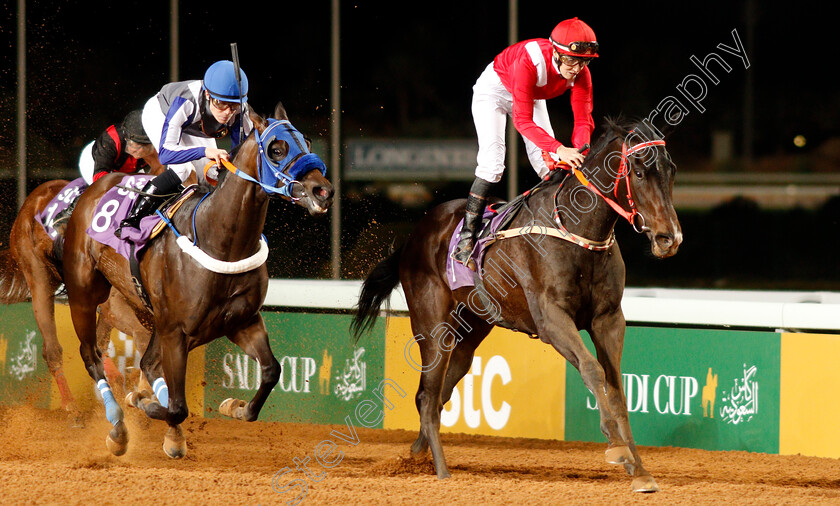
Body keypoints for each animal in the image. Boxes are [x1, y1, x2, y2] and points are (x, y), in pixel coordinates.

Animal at [61, 103, 334, 458]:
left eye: (309, 143)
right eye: (277, 149)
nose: (323, 192)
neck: (220, 241)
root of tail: (96, 186)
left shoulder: (240, 322)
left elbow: (271, 371)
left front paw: (235, 406)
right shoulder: (176, 332)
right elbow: (177, 406)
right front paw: (146, 403)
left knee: (146, 362)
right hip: (85, 294)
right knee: (91, 355)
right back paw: (119, 428)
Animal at [352, 117, 684, 490]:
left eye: (671, 170)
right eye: (639, 172)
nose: (669, 238)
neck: (578, 230)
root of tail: (414, 235)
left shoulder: (609, 318)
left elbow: (616, 387)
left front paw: (639, 469)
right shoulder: (552, 319)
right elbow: (592, 369)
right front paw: (616, 448)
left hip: (471, 327)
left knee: (440, 393)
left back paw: (415, 453)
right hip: (432, 325)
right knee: (427, 395)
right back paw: (441, 471)